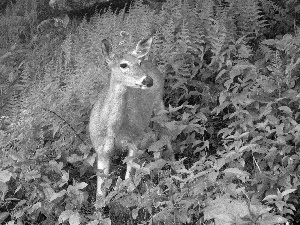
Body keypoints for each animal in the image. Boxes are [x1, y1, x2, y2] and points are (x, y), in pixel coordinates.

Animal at [89, 33, 169, 199]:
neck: (112, 130)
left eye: (139, 63)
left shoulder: (134, 140)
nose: (148, 80)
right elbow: (100, 194)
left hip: (159, 104)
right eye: (123, 65)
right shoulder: (101, 150)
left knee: (165, 133)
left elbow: (128, 181)